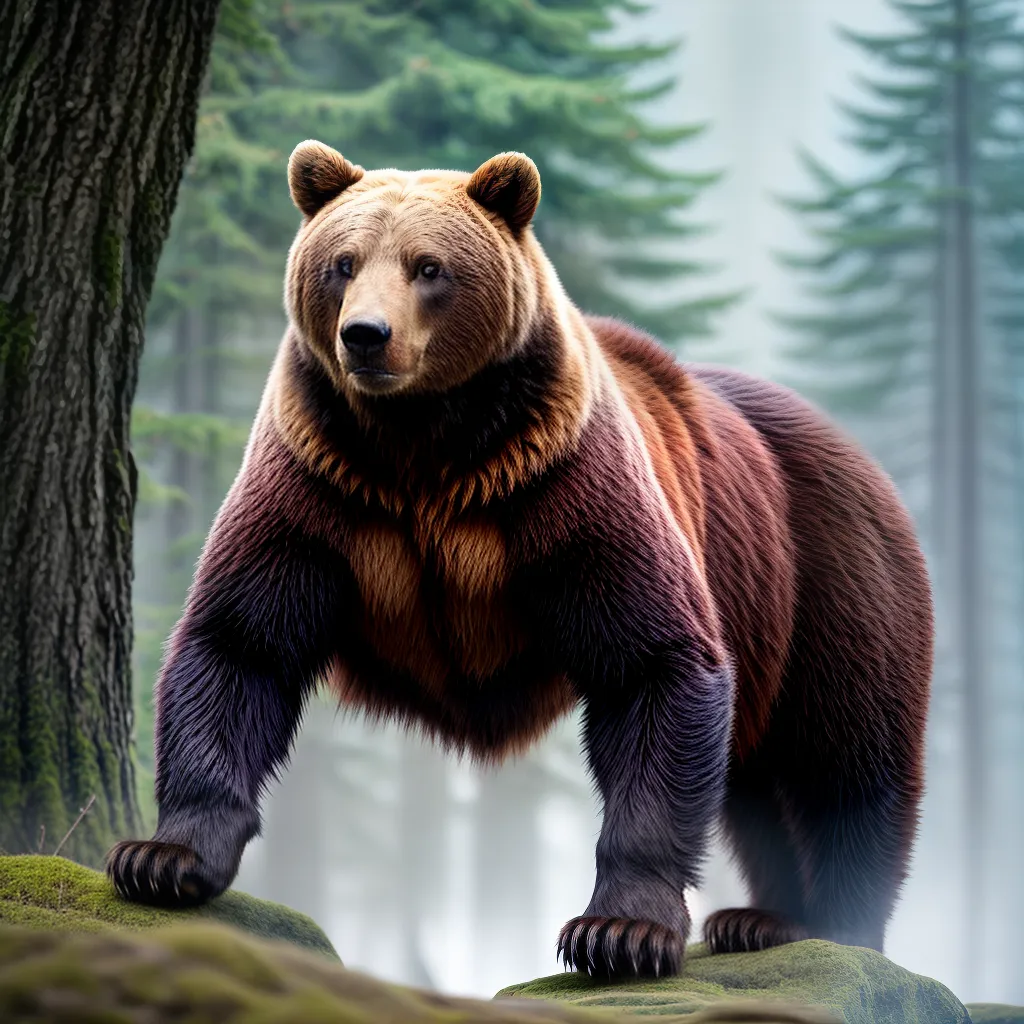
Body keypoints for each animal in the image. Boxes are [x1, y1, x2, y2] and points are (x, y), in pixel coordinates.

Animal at [108, 140, 933, 980]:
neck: (422, 447)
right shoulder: (321, 482)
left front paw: (618, 930)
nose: (365, 335)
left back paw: (835, 924)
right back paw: (763, 918)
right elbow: (241, 643)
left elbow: (654, 663)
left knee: (843, 758)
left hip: (826, 573)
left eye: (428, 266)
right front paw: (163, 857)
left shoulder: (562, 485)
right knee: (758, 776)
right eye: (342, 262)